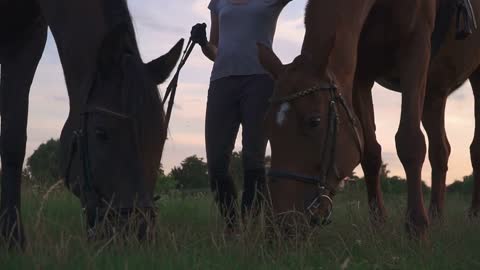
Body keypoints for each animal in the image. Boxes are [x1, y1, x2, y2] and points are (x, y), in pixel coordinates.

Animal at [0, 0, 184, 248]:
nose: (136, 232)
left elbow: (13, 141)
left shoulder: (25, 38)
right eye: (100, 132)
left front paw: (13, 239)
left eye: (161, 137)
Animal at [258, 0, 480, 237]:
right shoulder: (360, 74)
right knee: (441, 149)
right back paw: (437, 217)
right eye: (266, 124)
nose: (282, 225)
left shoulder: (415, 50)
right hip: (435, 91)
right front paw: (378, 223)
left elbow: (410, 141)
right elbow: (370, 152)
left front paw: (416, 226)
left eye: (314, 121)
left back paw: (473, 216)